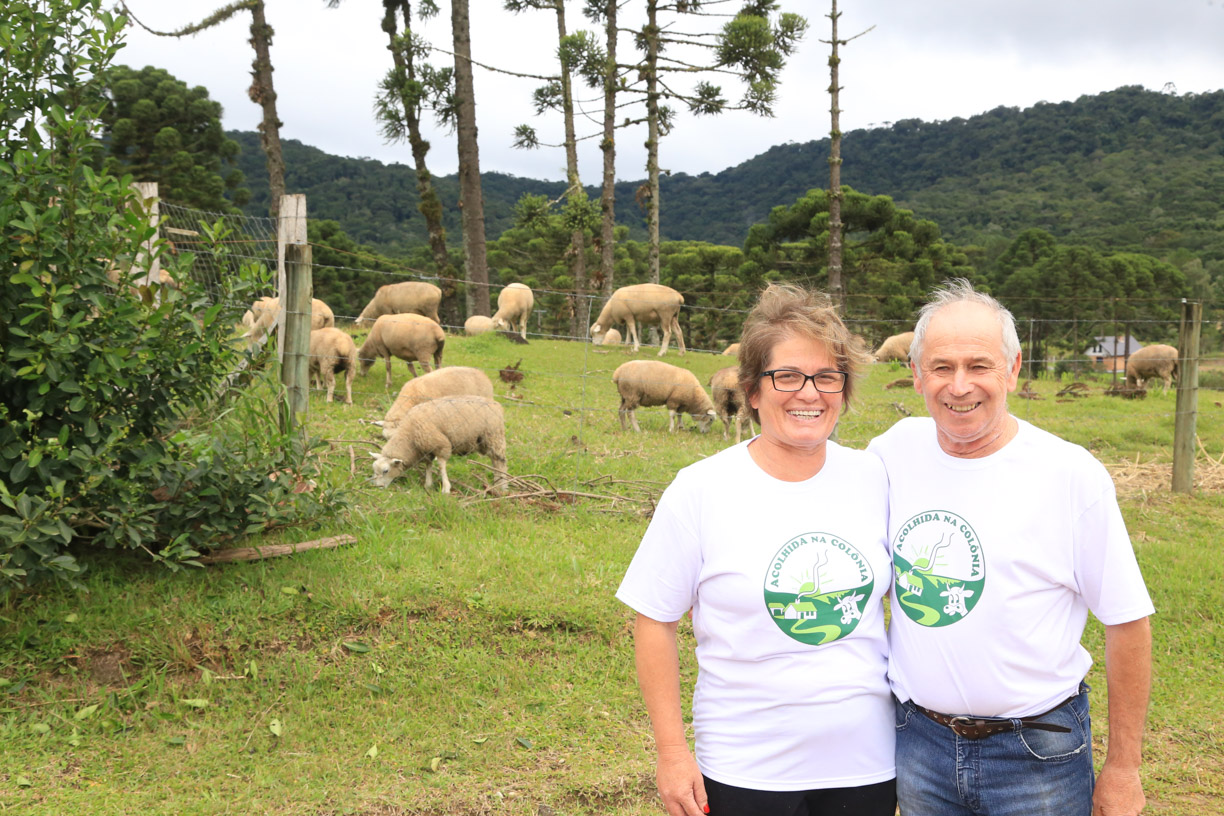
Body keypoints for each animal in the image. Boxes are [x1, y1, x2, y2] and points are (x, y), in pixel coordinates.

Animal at [369, 391, 509, 494]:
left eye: (386, 471)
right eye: (374, 469)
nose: (377, 487)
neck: (410, 435)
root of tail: (497, 405)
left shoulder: (441, 444)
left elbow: (441, 466)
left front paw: (446, 489)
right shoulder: (427, 449)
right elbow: (428, 465)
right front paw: (428, 484)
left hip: (494, 436)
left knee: (500, 462)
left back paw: (503, 486)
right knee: (495, 462)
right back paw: (496, 484)